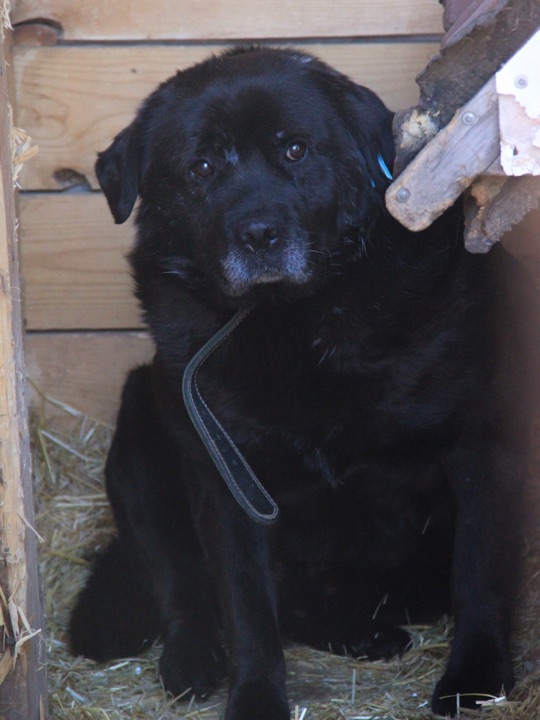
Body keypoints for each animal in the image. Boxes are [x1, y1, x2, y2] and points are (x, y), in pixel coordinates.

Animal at [69, 46, 529, 719]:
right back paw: (197, 655)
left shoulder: (483, 444)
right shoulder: (227, 479)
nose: (260, 235)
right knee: (183, 580)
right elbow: (247, 608)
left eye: (294, 150)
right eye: (201, 167)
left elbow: (478, 575)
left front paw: (474, 677)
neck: (293, 320)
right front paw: (255, 698)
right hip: (140, 432)